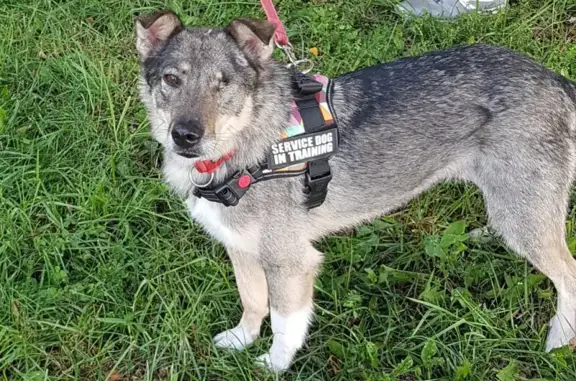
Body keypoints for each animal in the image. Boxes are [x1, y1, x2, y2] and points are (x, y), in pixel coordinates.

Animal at [135, 9, 576, 372]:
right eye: (172, 79)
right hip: (517, 208)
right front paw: (241, 340)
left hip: (524, 215)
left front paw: (273, 366)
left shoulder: (292, 262)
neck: (248, 147)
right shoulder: (240, 248)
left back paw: (560, 339)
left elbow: (283, 324)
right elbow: (252, 301)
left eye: (223, 85)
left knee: (568, 274)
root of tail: (553, 79)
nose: (185, 135)